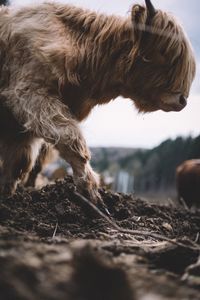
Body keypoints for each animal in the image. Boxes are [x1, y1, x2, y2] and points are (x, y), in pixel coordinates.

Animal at [0, 0, 195, 205]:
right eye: (165, 52)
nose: (183, 100)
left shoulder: (21, 127)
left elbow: (19, 162)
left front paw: (7, 196)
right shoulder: (29, 94)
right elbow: (70, 138)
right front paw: (90, 189)